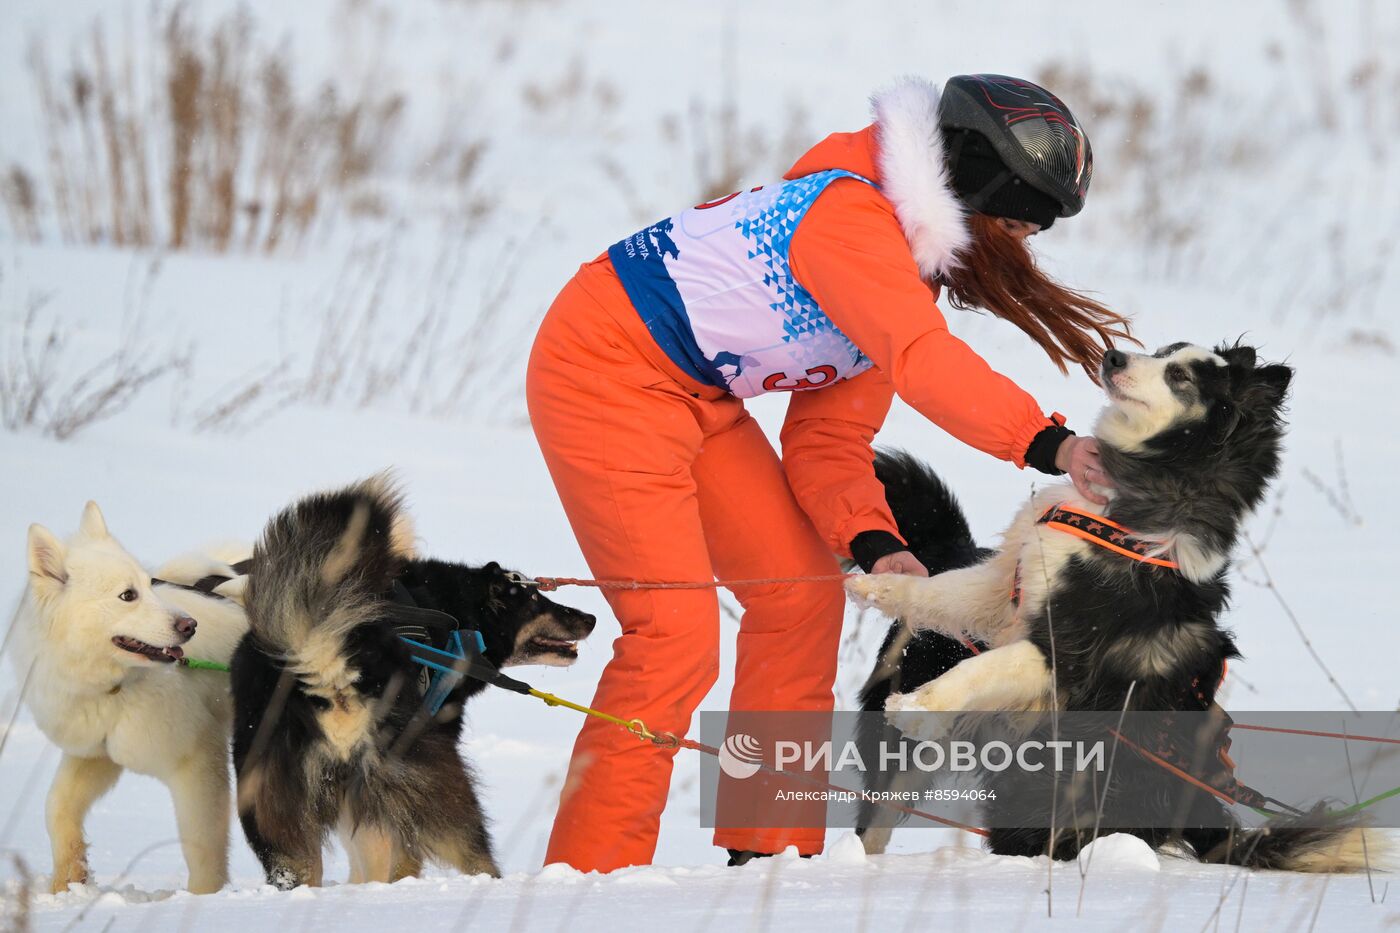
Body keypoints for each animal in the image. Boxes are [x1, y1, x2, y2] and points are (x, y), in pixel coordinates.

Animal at [14, 501, 249, 896]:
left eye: (148, 585)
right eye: (128, 595)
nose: (190, 626)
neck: (114, 687)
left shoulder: (198, 762)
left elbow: (202, 847)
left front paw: (203, 898)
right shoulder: (96, 755)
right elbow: (56, 807)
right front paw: (67, 883)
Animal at [232, 479, 593, 885]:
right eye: (535, 600)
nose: (591, 618)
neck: (454, 612)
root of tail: (324, 660)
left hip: (277, 814)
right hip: (435, 783)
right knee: (468, 853)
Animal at [851, 343, 1377, 874]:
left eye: (1180, 375)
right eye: (1165, 350)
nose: (1113, 355)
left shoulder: (1064, 648)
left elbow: (978, 669)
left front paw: (916, 705)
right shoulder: (1005, 588)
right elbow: (938, 590)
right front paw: (876, 584)